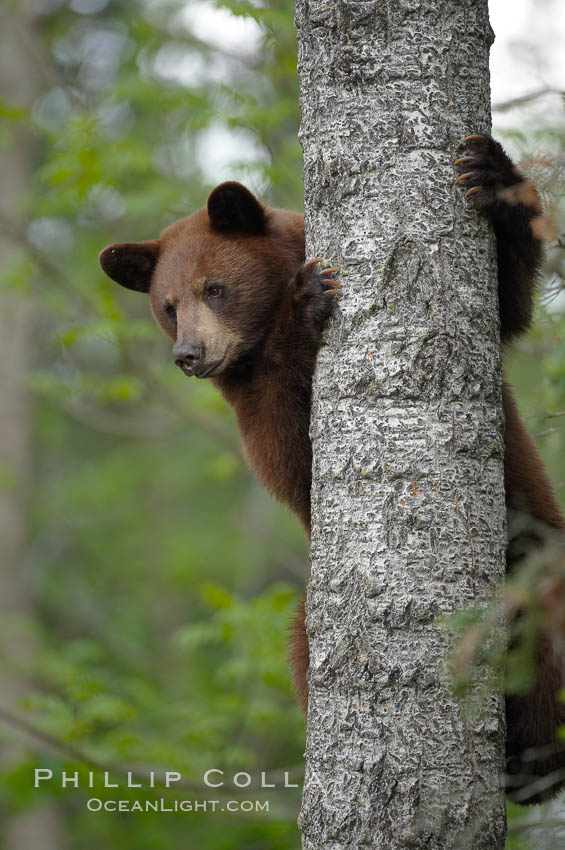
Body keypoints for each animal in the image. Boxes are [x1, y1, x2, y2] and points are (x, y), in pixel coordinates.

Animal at [100, 136, 564, 800]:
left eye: (213, 288)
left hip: (539, 548)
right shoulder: (248, 402)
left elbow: (509, 304)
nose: (189, 354)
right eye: (168, 305)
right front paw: (306, 301)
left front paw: (489, 171)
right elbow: (292, 455)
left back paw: (532, 760)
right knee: (301, 643)